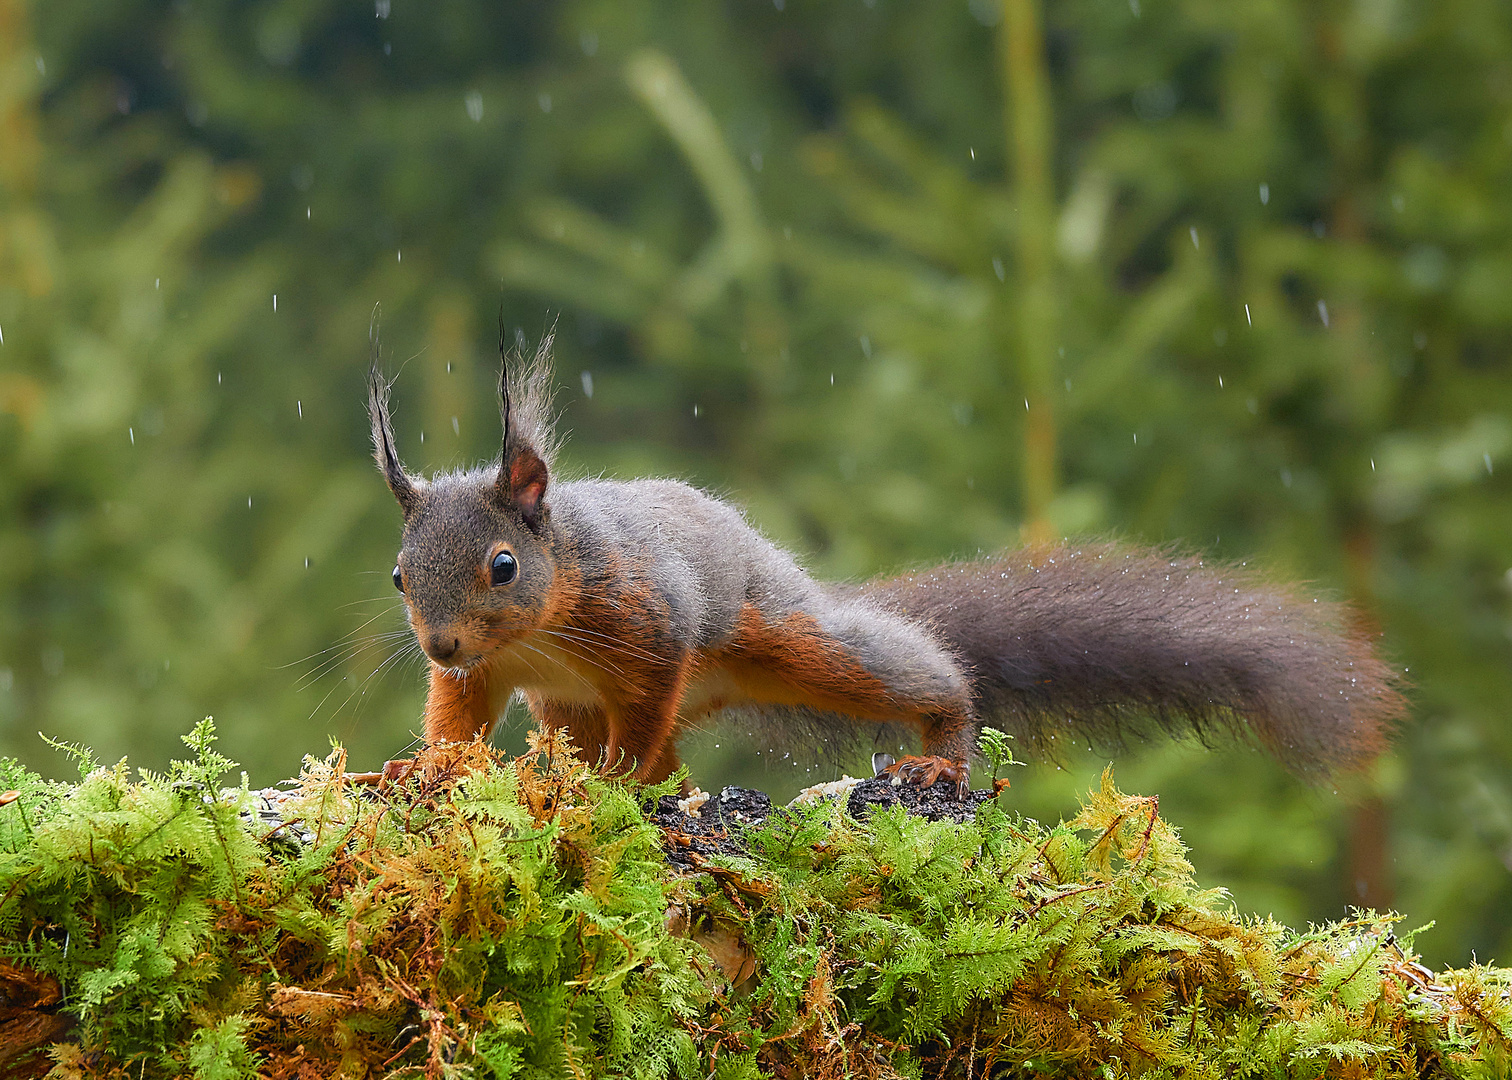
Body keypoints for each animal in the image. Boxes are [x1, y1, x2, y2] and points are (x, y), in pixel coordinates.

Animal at [365, 332, 1403, 792]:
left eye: (504, 567)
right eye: (400, 576)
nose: (440, 641)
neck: (548, 611)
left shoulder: (648, 618)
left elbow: (650, 693)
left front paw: (615, 778)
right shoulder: (489, 673)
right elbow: (457, 720)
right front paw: (418, 769)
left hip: (787, 637)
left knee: (909, 671)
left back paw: (939, 753)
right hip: (571, 704)